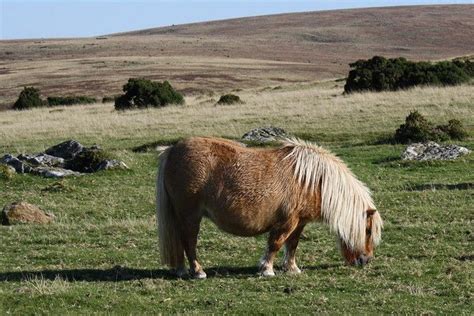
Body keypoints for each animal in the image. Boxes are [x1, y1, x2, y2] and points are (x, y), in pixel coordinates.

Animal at [157, 137, 384, 278]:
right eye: (367, 230)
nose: (366, 261)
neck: (311, 181)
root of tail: (173, 149)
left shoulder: (299, 222)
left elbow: (292, 245)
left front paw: (292, 268)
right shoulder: (287, 222)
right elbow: (276, 243)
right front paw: (267, 269)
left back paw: (181, 270)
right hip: (190, 216)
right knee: (189, 242)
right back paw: (198, 271)